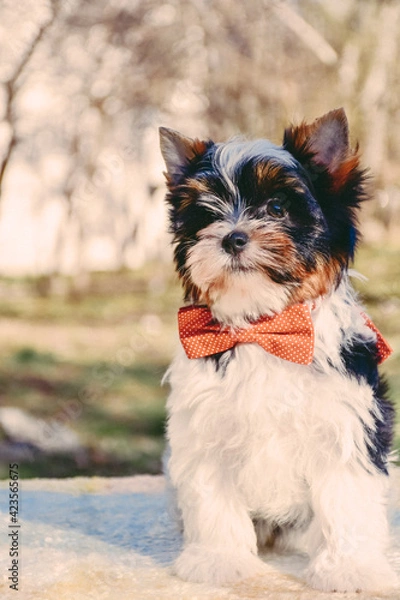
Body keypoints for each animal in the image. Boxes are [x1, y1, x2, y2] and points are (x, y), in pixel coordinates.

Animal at [159, 110, 396, 592]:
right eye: (206, 214)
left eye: (277, 209)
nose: (232, 238)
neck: (264, 327)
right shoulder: (206, 427)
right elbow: (213, 496)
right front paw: (219, 559)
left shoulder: (345, 423)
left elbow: (347, 497)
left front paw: (350, 567)